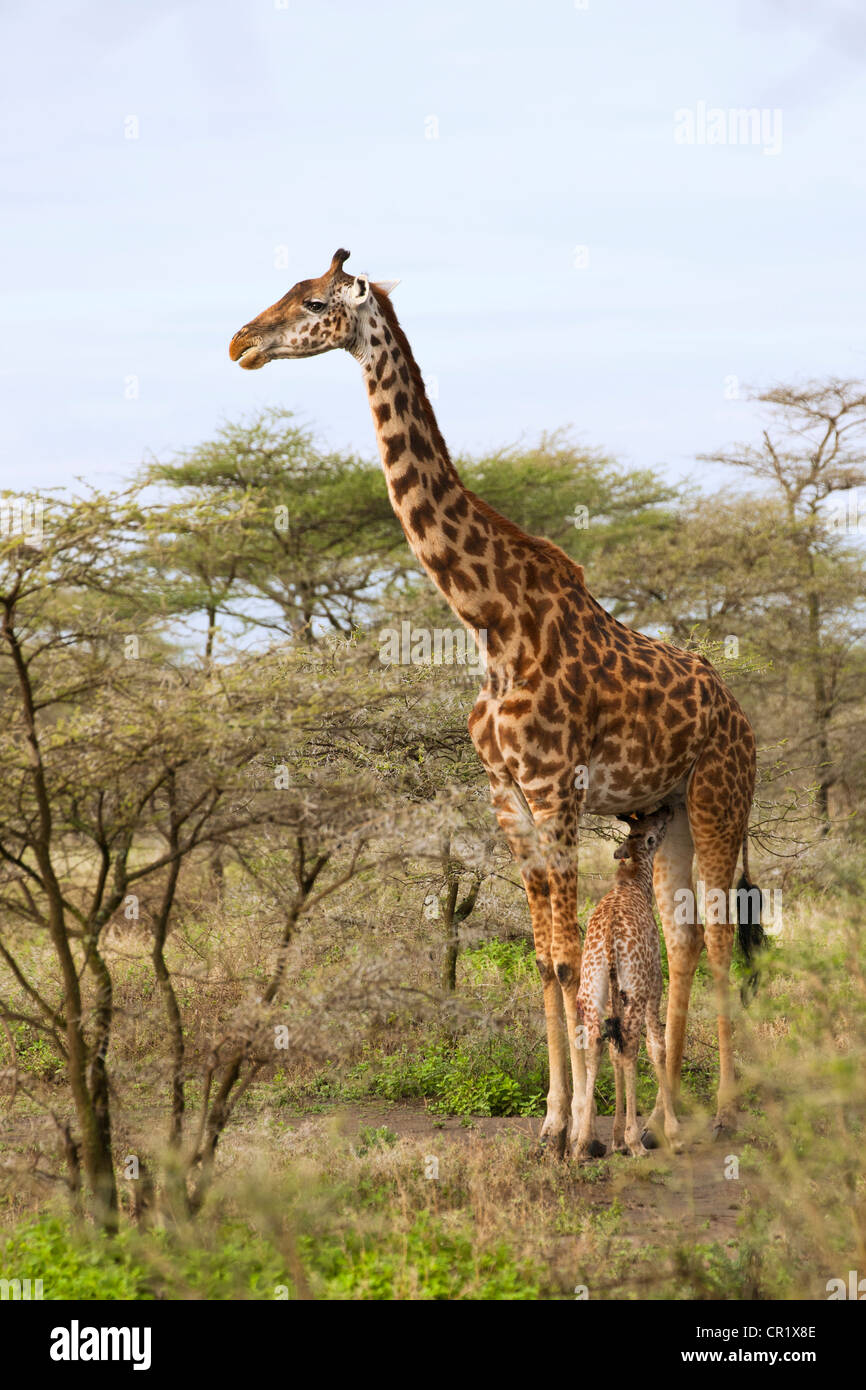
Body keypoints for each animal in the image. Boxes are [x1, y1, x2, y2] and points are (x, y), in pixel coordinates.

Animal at [575, 811, 683, 1156]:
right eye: (653, 830)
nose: (667, 812)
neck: (634, 884)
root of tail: (610, 938)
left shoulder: (612, 997)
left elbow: (612, 1049)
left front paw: (616, 1138)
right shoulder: (654, 985)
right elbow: (657, 1047)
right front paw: (671, 1135)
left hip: (591, 990)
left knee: (595, 1044)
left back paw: (582, 1144)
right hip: (635, 990)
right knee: (632, 1046)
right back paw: (637, 1143)